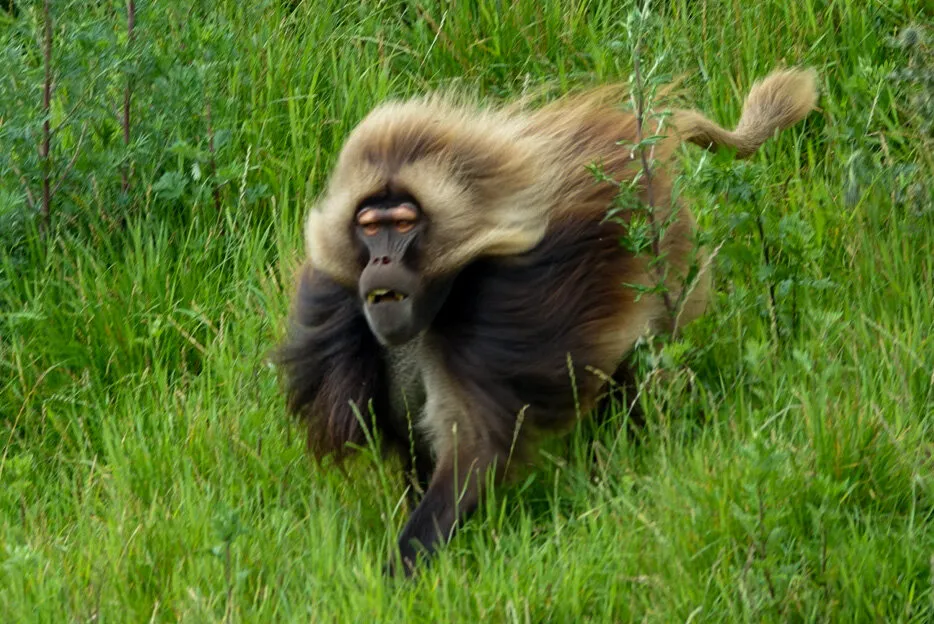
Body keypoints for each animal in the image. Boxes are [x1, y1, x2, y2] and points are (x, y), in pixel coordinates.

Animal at [276, 67, 819, 576]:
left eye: (404, 224)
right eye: (370, 227)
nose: (382, 262)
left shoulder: (488, 316)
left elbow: (472, 451)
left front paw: (398, 575)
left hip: (663, 256)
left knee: (640, 369)